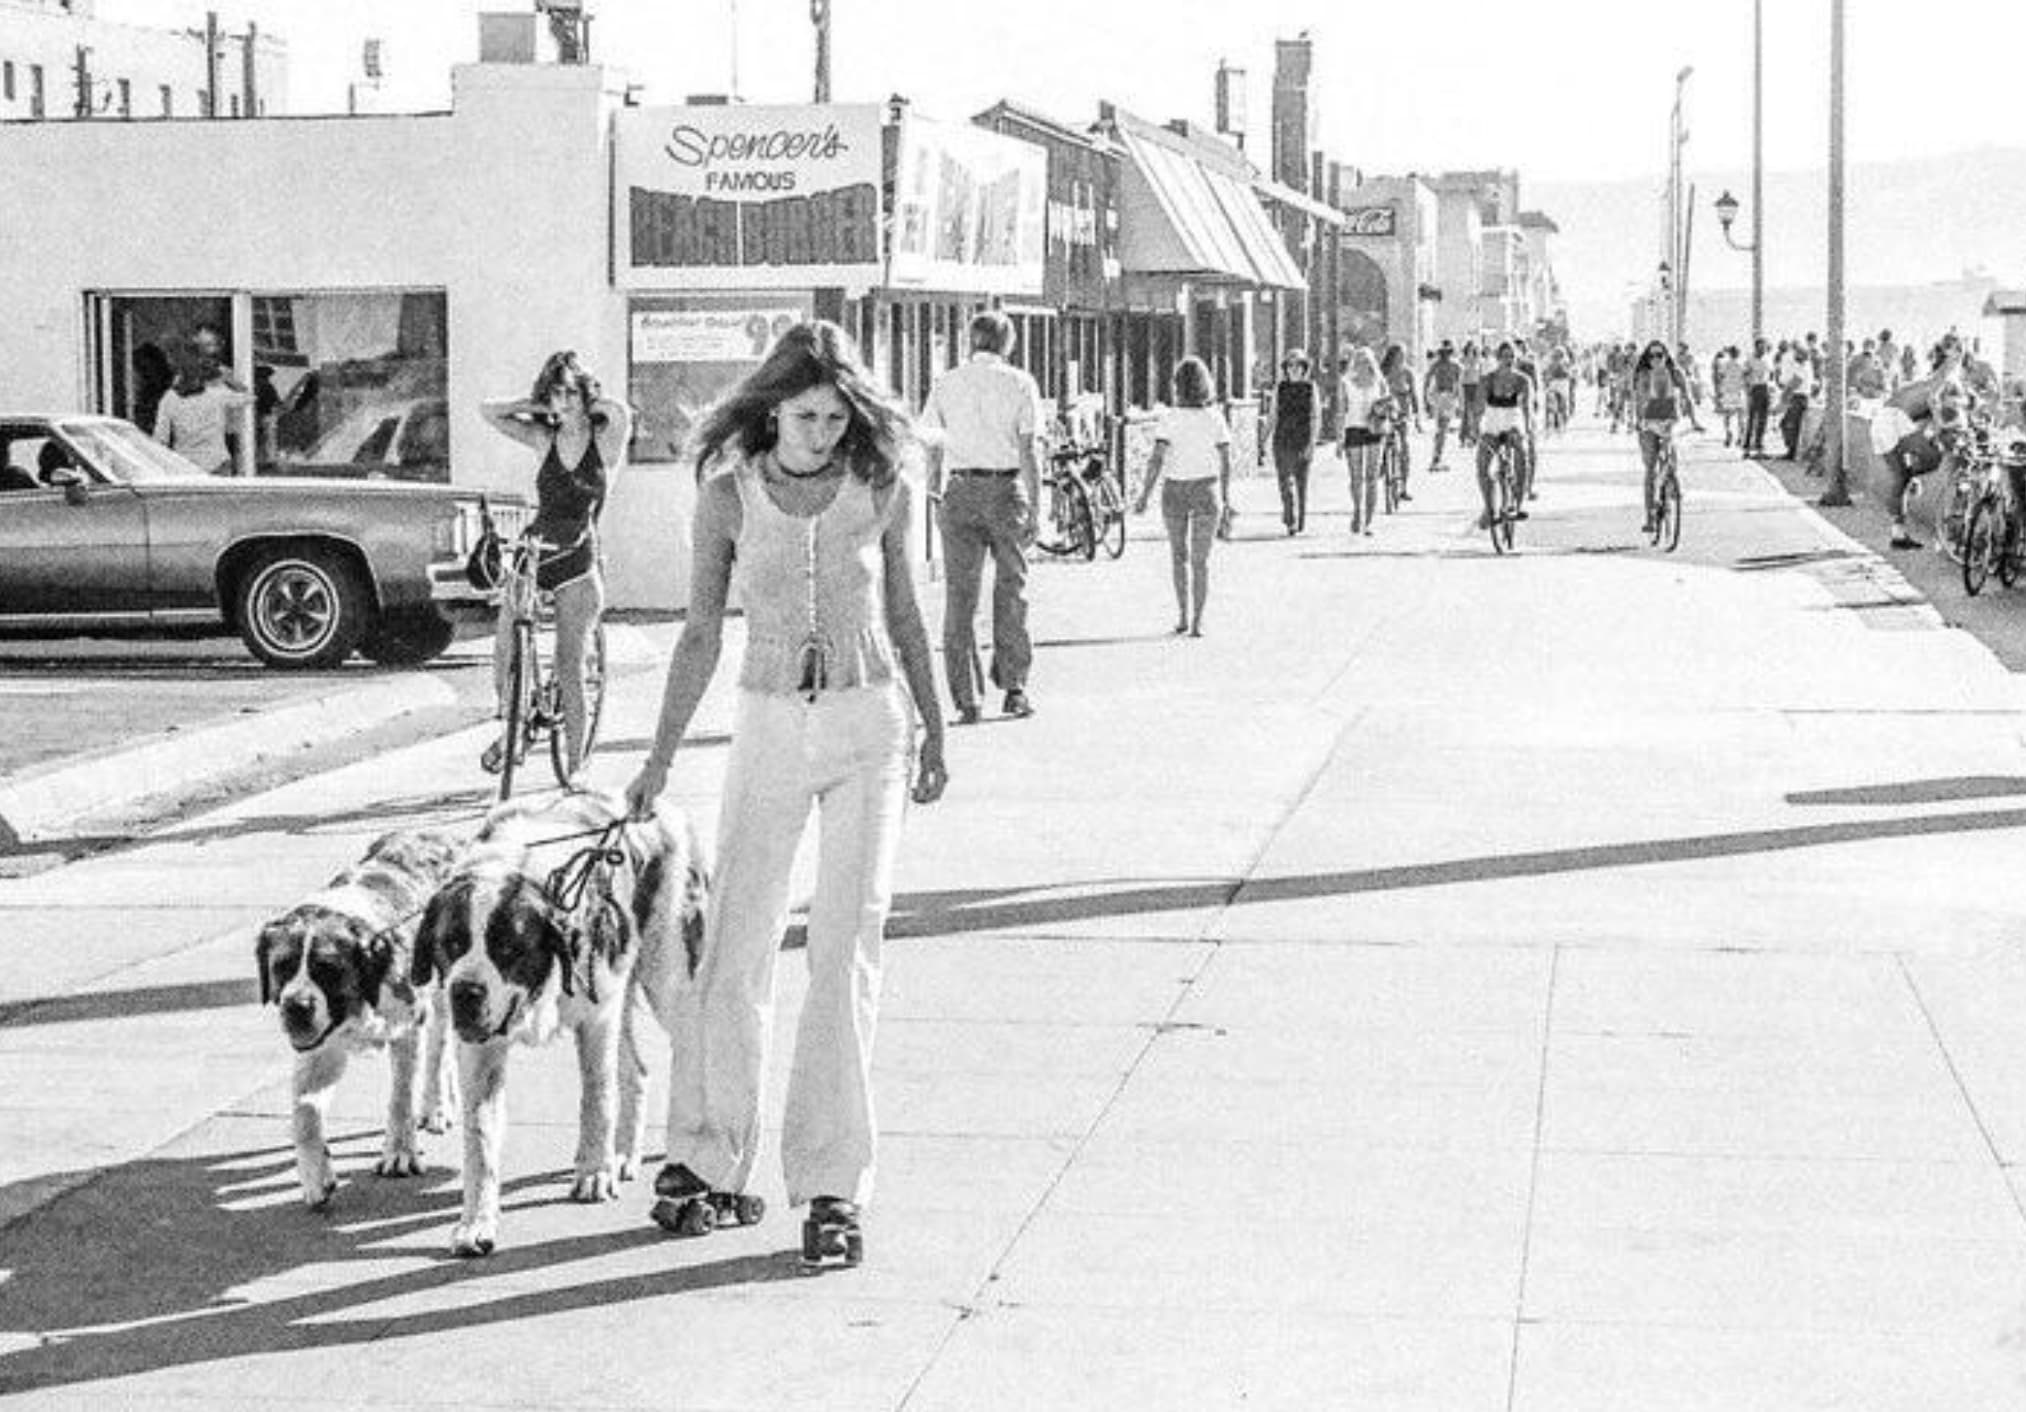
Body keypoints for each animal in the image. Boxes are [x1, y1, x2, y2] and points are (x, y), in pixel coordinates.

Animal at [257, 830, 463, 1207]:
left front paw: (399, 1152)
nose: (296, 1007)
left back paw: (436, 1105)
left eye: (327, 969)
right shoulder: (321, 1047)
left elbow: (401, 1096)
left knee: (439, 1045)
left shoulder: (406, 1025)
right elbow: (304, 1114)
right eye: (283, 967)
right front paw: (315, 1175)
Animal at [407, 786, 709, 1264]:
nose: (466, 993)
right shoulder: (481, 1048)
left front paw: (594, 1173)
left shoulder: (596, 1018)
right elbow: (480, 1139)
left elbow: (597, 1098)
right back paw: (625, 1153)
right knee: (637, 1071)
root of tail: (663, 810)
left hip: (669, 981)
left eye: (508, 949)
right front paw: (475, 1223)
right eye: (451, 943)